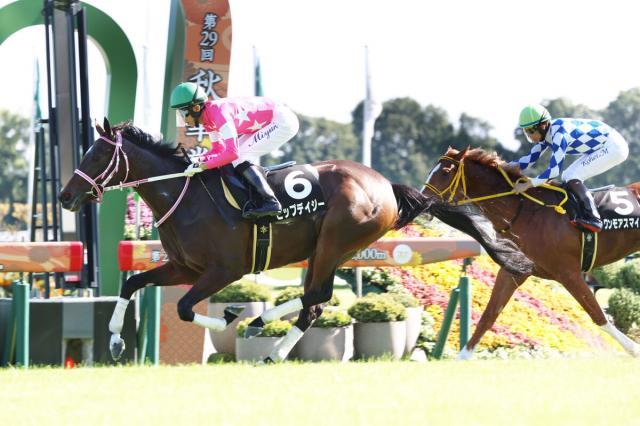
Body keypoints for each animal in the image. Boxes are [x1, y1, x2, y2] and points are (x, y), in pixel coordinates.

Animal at [424, 146, 640, 360]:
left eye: (445, 172)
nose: (423, 203)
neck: (525, 212)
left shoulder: (568, 273)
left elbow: (598, 315)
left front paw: (634, 349)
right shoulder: (515, 270)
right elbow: (489, 315)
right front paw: (462, 357)